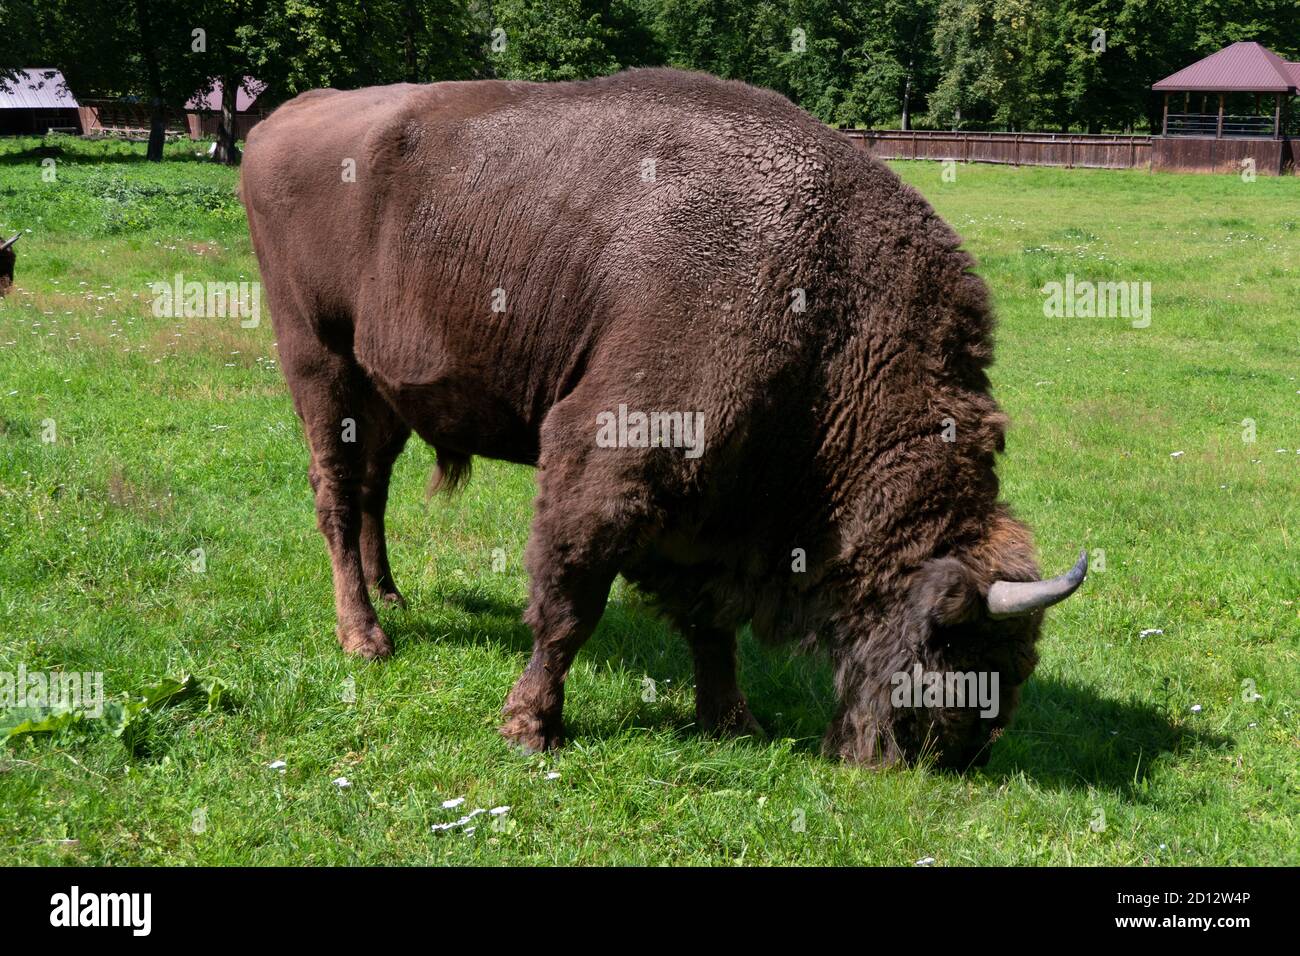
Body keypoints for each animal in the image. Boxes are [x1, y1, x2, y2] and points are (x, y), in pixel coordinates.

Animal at [244, 67, 1086, 770]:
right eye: (964, 649)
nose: (956, 757)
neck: (831, 311)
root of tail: (279, 122)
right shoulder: (609, 461)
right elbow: (570, 605)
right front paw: (530, 727)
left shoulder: (712, 508)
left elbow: (711, 622)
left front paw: (732, 721)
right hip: (319, 361)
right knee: (334, 494)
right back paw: (366, 637)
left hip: (381, 394)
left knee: (371, 491)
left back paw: (392, 597)